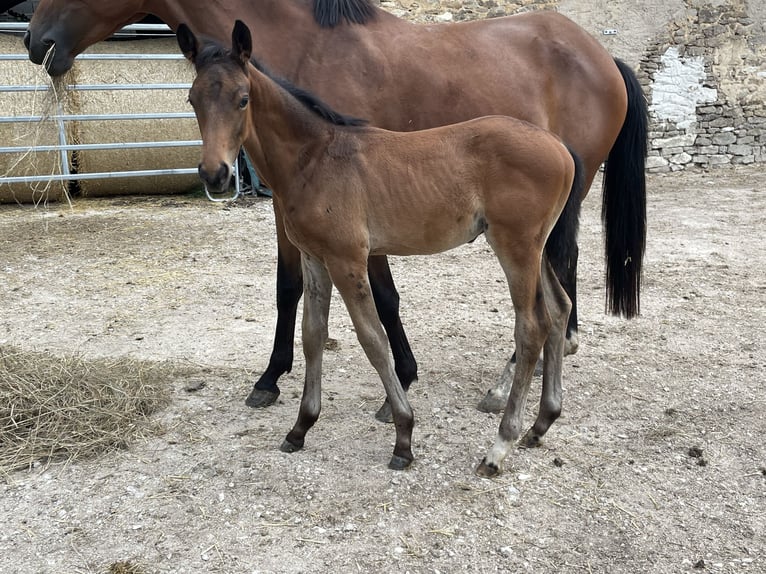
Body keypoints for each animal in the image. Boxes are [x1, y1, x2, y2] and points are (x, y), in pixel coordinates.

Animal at [25, 0, 648, 416]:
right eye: (192, 100)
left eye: (243, 99)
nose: (34, 41)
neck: (305, 43)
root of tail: (603, 53)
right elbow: (302, 290)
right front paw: (286, 377)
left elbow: (349, 294)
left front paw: (376, 377)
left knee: (551, 279)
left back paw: (514, 379)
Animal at [180, 20, 588, 474]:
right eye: (193, 98)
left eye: (243, 98)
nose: (214, 174)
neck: (315, 159)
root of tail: (560, 146)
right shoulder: (315, 259)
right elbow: (313, 335)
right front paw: (301, 427)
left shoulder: (347, 259)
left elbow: (372, 339)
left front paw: (403, 436)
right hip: (539, 247)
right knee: (559, 309)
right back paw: (542, 422)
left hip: (516, 247)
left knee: (532, 327)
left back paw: (499, 445)